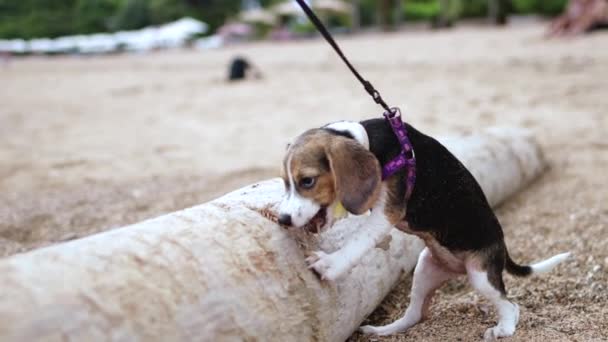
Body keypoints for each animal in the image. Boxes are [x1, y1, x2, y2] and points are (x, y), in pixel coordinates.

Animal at [280, 117, 568, 340]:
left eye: (307, 181)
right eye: (286, 183)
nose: (283, 219)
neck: (370, 143)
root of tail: (502, 245)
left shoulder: (387, 213)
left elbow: (359, 241)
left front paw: (330, 264)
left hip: (480, 274)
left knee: (510, 305)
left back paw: (504, 329)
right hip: (425, 269)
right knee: (415, 315)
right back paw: (382, 331)